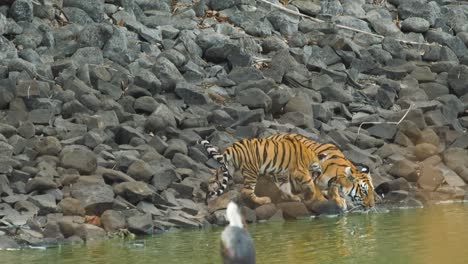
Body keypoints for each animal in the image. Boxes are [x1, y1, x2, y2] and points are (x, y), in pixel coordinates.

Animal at [199, 135, 328, 205]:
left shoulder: (282, 173)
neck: (310, 155)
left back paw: (208, 187)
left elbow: (285, 187)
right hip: (251, 171)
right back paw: (263, 200)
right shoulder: (300, 170)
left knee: (216, 175)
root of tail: (231, 147)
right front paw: (310, 196)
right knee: (246, 191)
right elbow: (310, 182)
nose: (320, 173)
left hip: (228, 168)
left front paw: (292, 197)